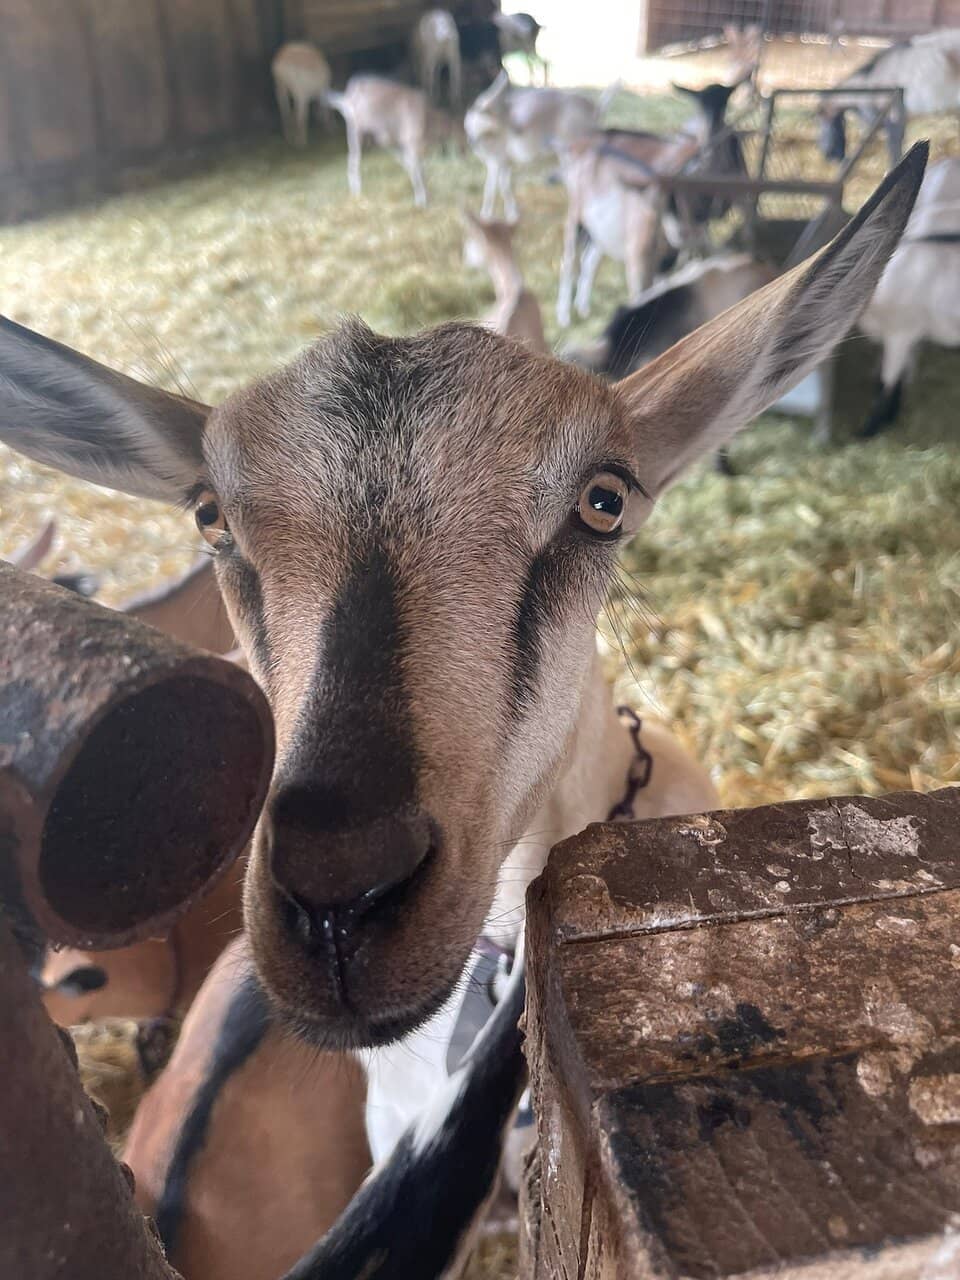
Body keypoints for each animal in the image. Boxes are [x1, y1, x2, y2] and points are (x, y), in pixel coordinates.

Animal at [327, 76, 459, 208]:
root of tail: (350, 91)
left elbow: (417, 167)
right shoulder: (411, 142)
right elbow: (416, 170)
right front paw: (421, 200)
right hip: (355, 132)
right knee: (353, 161)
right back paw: (356, 193)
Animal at [465, 73, 616, 220]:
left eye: (505, 110)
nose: (519, 129)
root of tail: (595, 109)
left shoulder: (494, 161)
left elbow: (489, 189)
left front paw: (485, 216)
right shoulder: (505, 162)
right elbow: (505, 186)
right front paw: (512, 214)